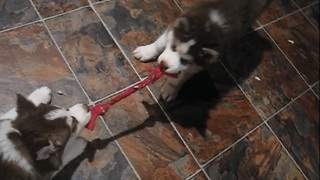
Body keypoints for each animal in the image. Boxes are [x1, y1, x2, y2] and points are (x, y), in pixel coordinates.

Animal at [134, 0, 272, 101]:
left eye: (184, 60)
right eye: (173, 47)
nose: (163, 65)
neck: (211, 26)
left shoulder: (202, 61)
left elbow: (184, 75)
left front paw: (171, 88)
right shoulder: (177, 27)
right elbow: (161, 42)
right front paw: (146, 51)